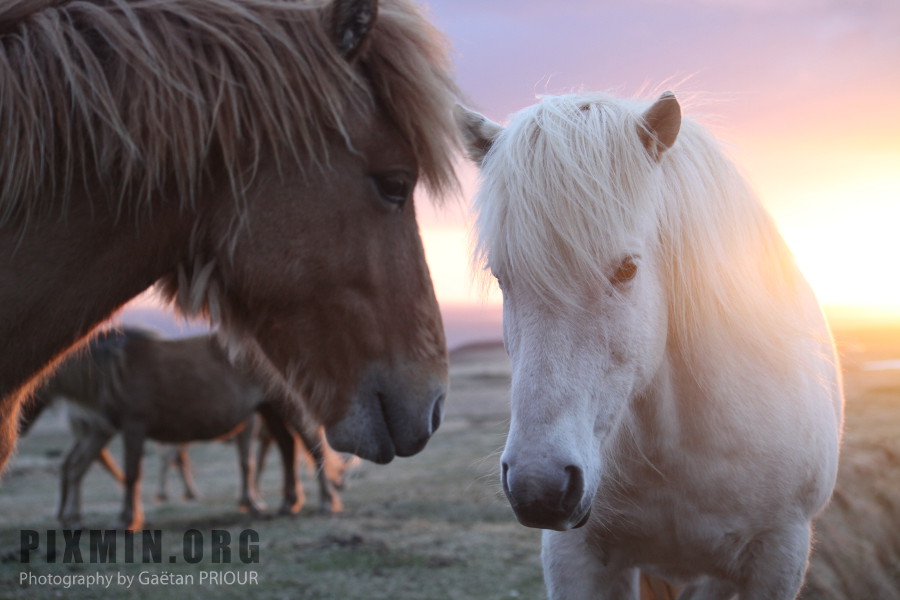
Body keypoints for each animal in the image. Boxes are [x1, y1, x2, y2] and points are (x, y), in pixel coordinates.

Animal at [29, 328, 336, 528]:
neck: (117, 369)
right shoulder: (109, 429)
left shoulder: (133, 427)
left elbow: (132, 473)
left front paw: (127, 520)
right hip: (269, 410)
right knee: (287, 446)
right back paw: (288, 503)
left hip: (286, 406)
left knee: (311, 445)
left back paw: (325, 502)